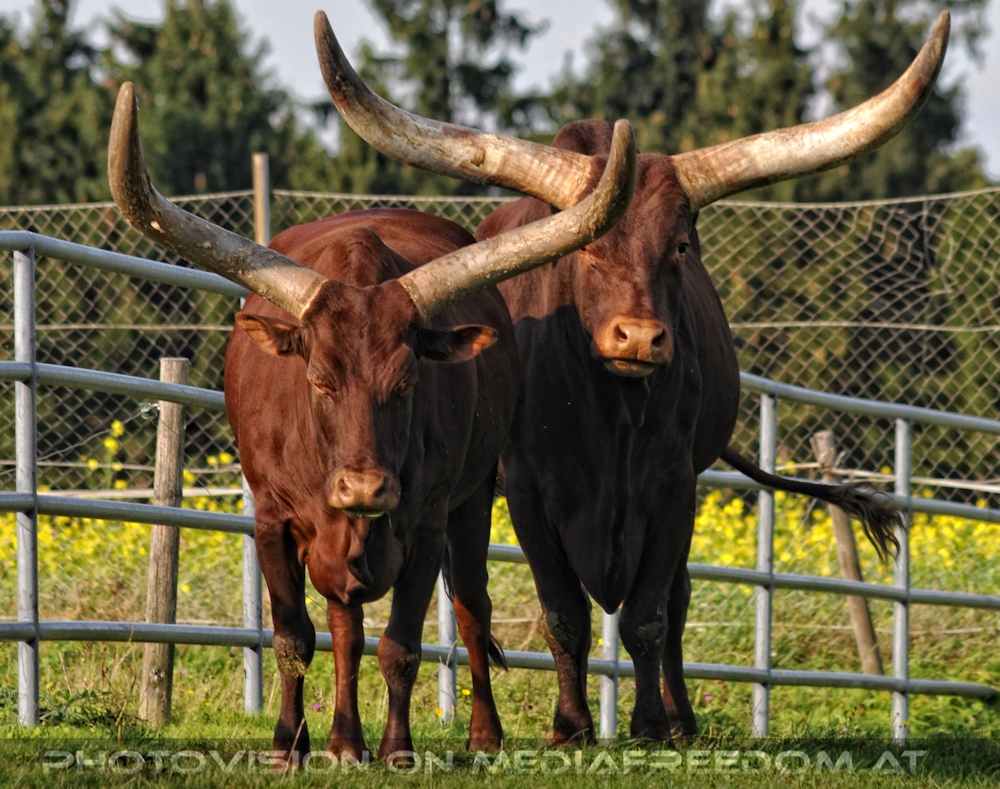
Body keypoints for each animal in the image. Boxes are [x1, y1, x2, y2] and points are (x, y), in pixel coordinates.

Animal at [106, 68, 637, 764]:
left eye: (407, 381)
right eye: (318, 381)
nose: (364, 487)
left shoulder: (427, 520)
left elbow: (401, 645)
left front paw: (397, 750)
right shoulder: (271, 519)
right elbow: (295, 637)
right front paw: (289, 746)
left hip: (471, 503)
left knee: (472, 610)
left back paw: (481, 735)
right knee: (344, 626)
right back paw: (341, 740)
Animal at [316, 9, 950, 743]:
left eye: (679, 246)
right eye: (587, 250)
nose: (640, 337)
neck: (612, 417)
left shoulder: (675, 489)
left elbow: (649, 616)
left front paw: (650, 723)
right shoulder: (529, 492)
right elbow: (564, 614)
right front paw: (571, 726)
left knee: (676, 601)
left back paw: (682, 718)